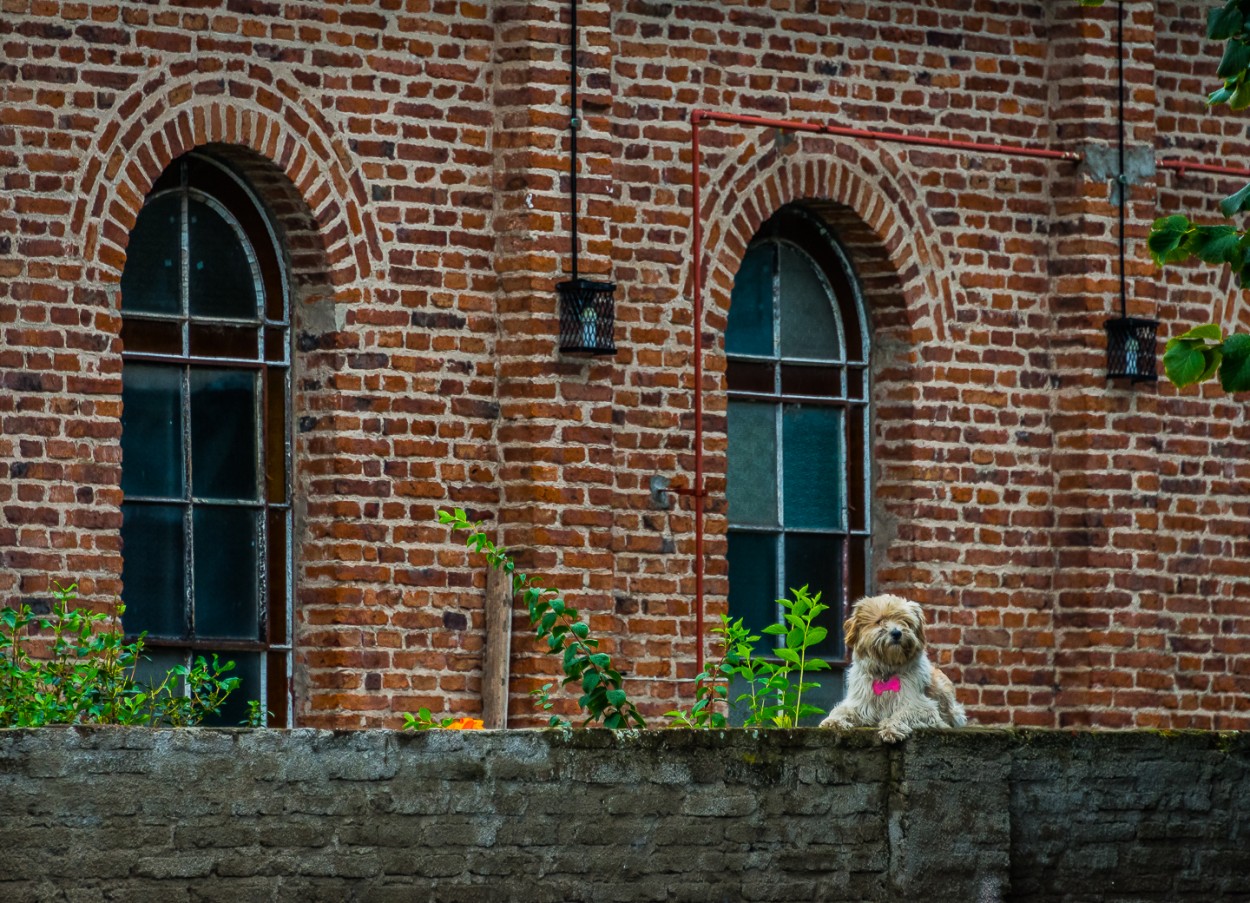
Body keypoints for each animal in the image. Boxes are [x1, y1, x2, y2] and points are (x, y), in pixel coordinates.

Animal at [820, 590, 965, 740]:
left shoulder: (921, 707)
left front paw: (891, 728)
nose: (897, 633)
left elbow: (901, 714)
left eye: (906, 622)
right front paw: (832, 721)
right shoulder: (860, 703)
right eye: (879, 621)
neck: (886, 670)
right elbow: (842, 710)